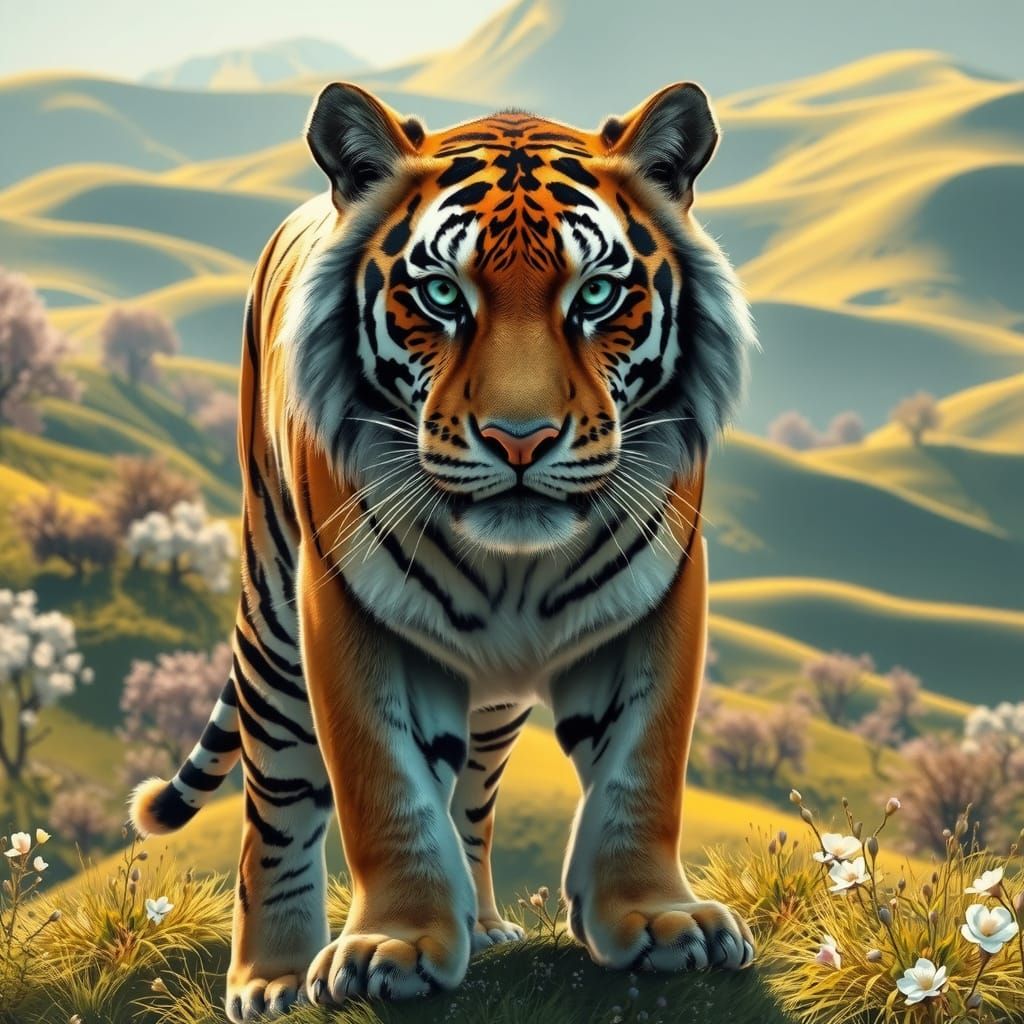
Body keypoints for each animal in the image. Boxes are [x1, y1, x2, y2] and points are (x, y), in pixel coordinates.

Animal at [129, 78, 757, 1021]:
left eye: (597, 296)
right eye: (440, 295)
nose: (519, 439)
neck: (514, 568)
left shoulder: (661, 590)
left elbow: (642, 768)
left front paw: (659, 920)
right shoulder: (345, 608)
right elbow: (384, 787)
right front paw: (391, 945)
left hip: (490, 702)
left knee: (472, 793)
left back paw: (486, 923)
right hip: (272, 630)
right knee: (277, 804)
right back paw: (270, 978)